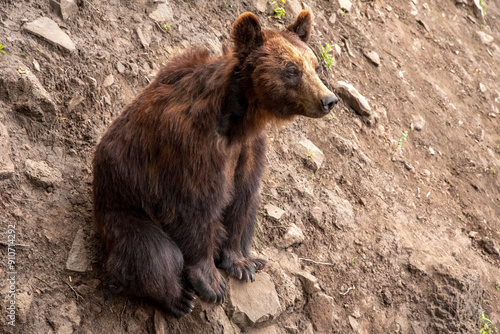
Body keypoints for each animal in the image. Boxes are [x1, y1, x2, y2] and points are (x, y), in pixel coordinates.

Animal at [92, 10, 338, 318]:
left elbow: (243, 198)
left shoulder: (249, 149)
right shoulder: (192, 146)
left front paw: (241, 264)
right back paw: (179, 297)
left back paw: (255, 259)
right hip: (124, 211)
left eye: (315, 65)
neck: (239, 119)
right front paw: (212, 283)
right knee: (153, 252)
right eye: (291, 69)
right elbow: (195, 206)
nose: (329, 99)